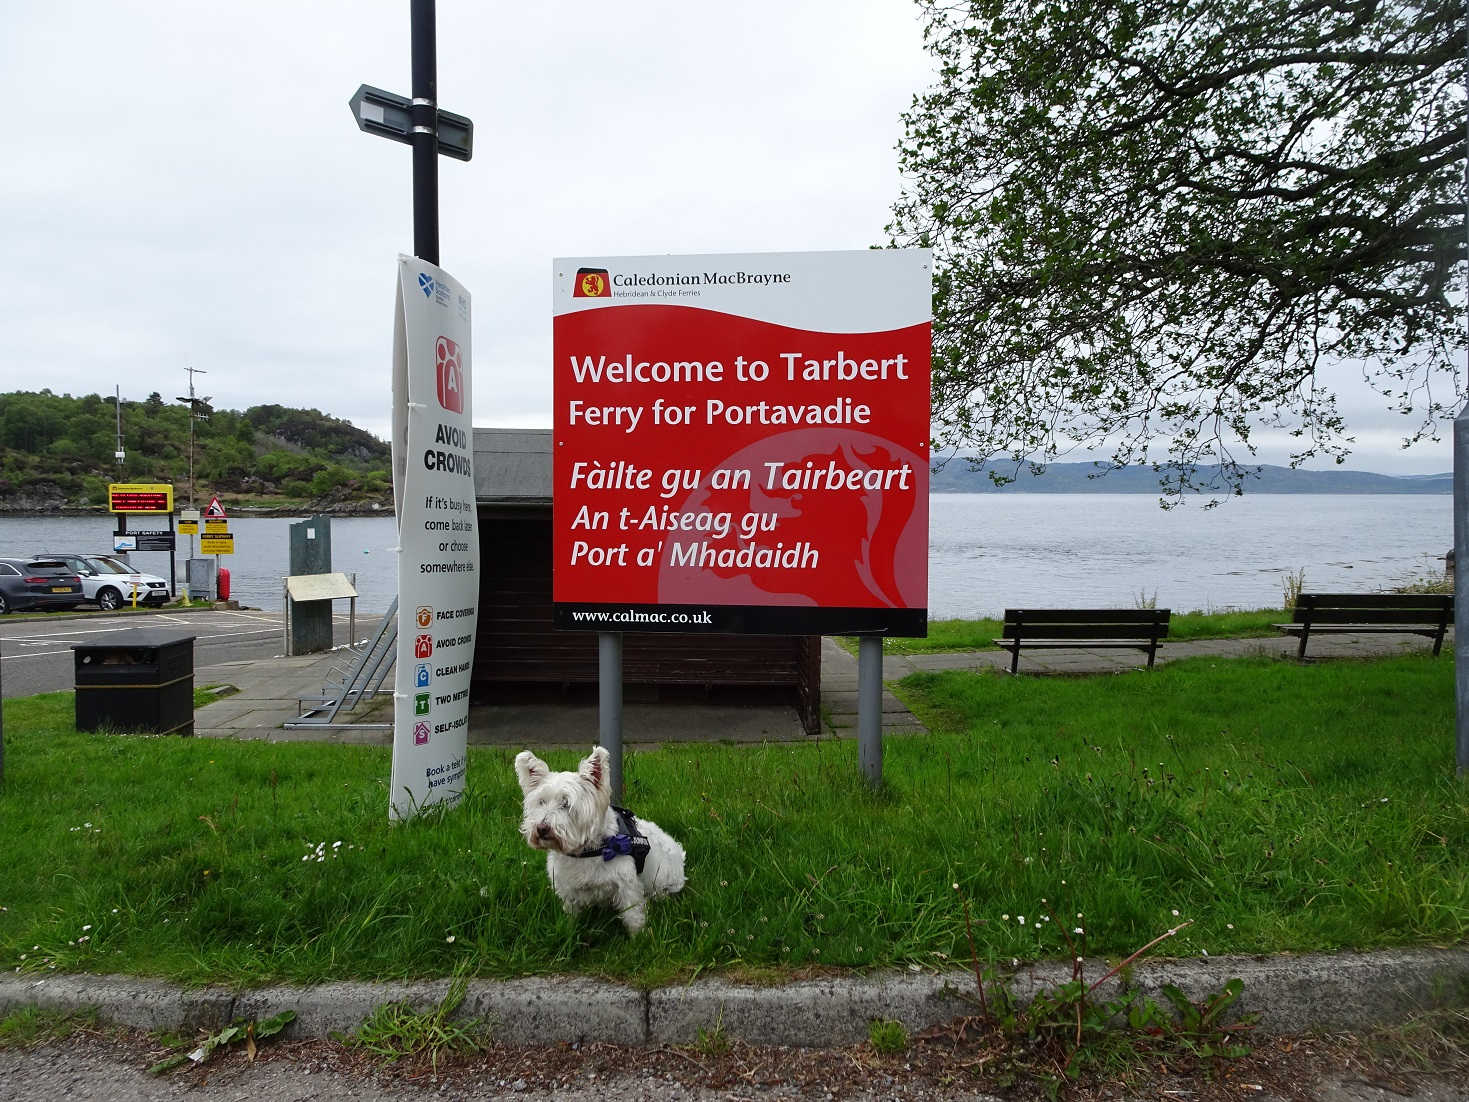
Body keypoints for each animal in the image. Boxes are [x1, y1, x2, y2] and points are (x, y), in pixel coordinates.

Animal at [517, 746, 687, 934]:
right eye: (541, 802)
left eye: (566, 803)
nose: (541, 828)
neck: (588, 851)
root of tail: (679, 852)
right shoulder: (568, 890)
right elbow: (572, 915)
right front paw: (569, 930)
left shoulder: (627, 888)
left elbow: (633, 916)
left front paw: (638, 937)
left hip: (662, 879)